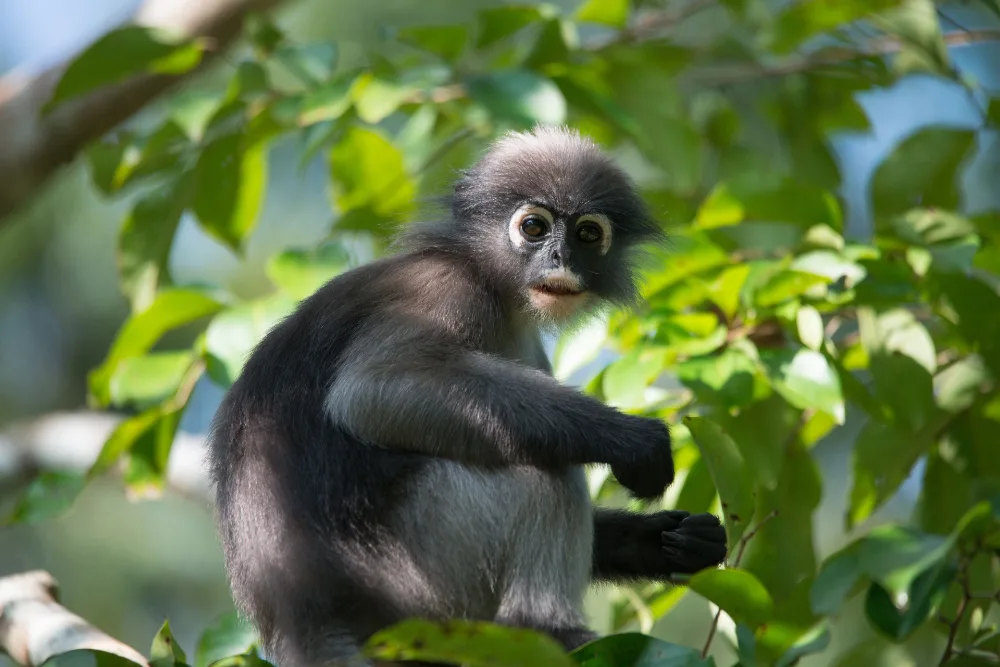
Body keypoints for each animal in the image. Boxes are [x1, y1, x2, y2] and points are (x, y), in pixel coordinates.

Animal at [206, 125, 728, 667]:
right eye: (534, 227)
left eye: (587, 234)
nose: (560, 258)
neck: (491, 283)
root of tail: (310, 619)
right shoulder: (440, 290)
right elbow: (372, 389)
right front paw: (633, 440)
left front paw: (672, 541)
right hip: (420, 574)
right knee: (546, 474)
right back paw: (548, 631)